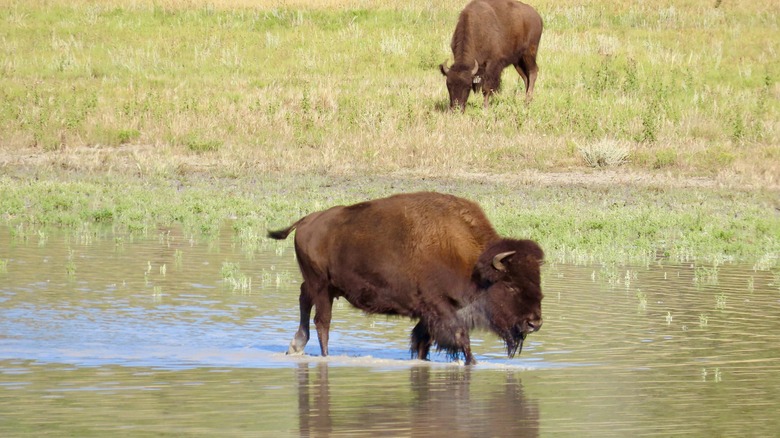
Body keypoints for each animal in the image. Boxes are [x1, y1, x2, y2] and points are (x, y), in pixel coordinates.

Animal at [266, 192, 544, 366]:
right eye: (510, 285)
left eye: (536, 280)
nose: (534, 323)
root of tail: (306, 221)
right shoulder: (440, 307)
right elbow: (459, 337)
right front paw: (473, 363)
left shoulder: (430, 315)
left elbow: (423, 341)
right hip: (322, 286)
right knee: (322, 322)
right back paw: (323, 356)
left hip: (324, 286)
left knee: (304, 300)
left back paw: (296, 345)